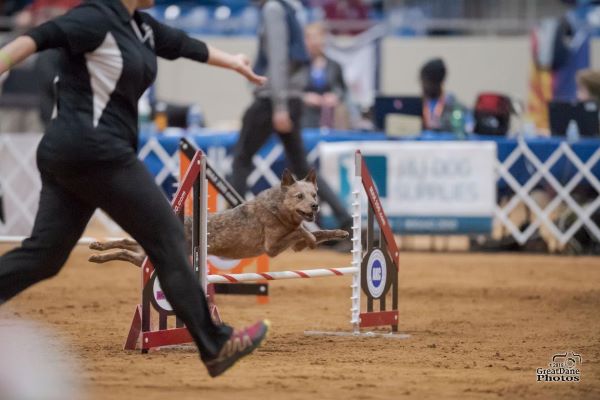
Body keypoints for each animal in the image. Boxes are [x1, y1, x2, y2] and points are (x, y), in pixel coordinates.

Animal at [91, 168, 350, 266]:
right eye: (299, 196)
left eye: (314, 194)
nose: (315, 206)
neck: (279, 209)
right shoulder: (272, 247)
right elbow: (303, 231)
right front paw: (311, 238)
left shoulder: (292, 245)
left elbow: (321, 232)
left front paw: (341, 232)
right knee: (126, 250)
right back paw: (99, 254)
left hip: (148, 255)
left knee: (127, 244)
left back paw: (98, 247)